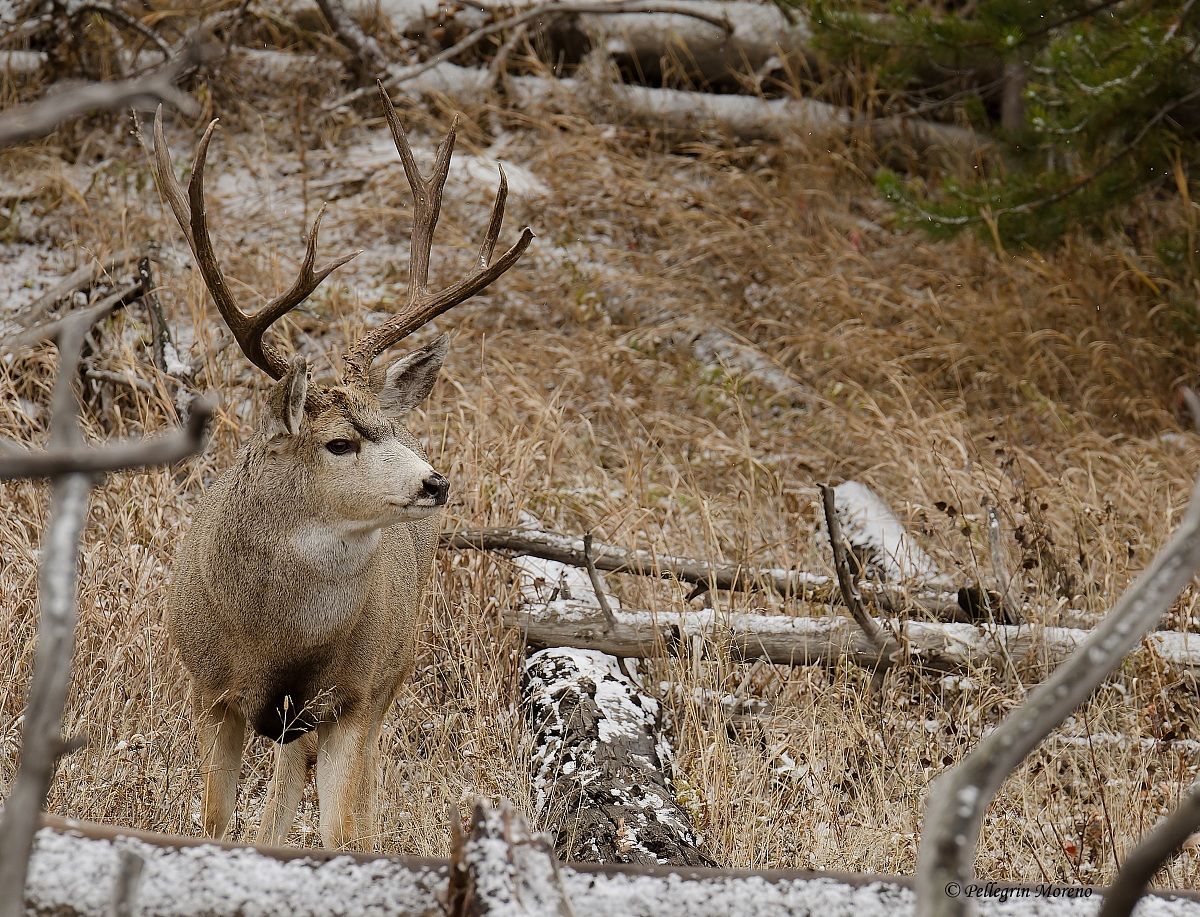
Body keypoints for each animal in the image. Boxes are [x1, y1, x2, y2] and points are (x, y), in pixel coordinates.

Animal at [152, 87, 532, 850]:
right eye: (338, 443)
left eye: (391, 427)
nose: (435, 482)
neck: (277, 641)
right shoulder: (211, 691)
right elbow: (214, 820)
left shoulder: (354, 697)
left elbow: (343, 833)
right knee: (278, 795)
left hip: (391, 671)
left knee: (340, 800)